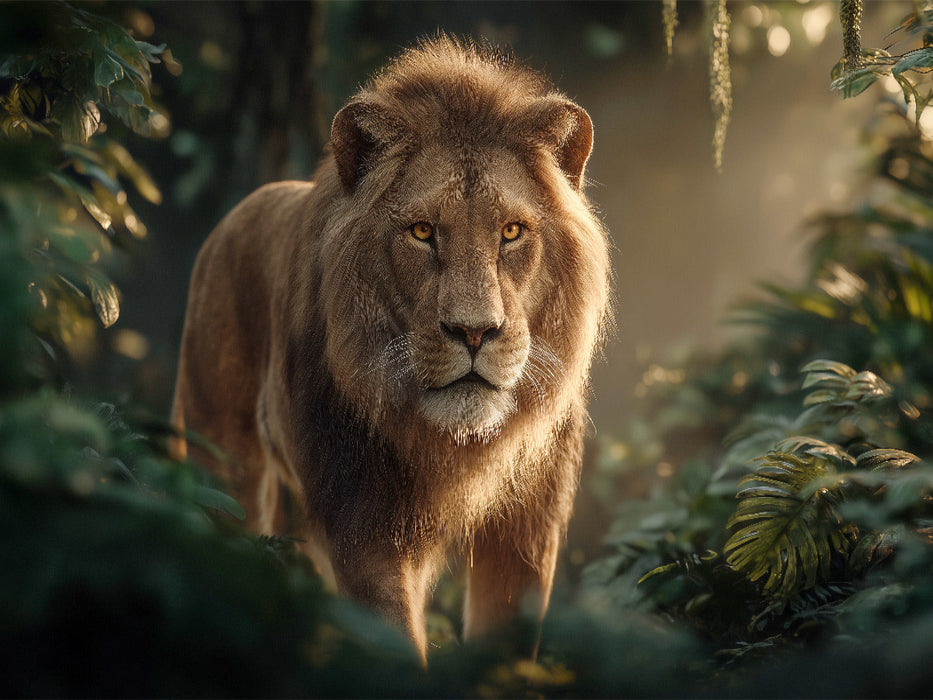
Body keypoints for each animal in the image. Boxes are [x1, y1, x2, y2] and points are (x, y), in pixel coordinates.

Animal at [172, 36, 610, 662]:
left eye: (511, 232)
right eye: (422, 232)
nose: (474, 332)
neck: (452, 444)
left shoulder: (526, 534)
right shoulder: (365, 526)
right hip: (226, 469)